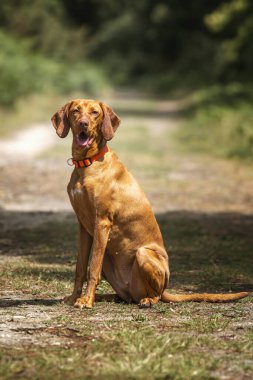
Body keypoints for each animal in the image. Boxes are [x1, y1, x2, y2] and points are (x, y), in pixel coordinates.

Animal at [51, 99, 247, 308]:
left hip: (143, 254)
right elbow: (80, 267)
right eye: (76, 111)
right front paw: (75, 297)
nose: (83, 123)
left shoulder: (102, 222)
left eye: (95, 112)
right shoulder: (83, 226)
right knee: (125, 295)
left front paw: (86, 301)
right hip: (111, 262)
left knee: (155, 295)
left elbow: (92, 267)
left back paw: (146, 300)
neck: (88, 163)